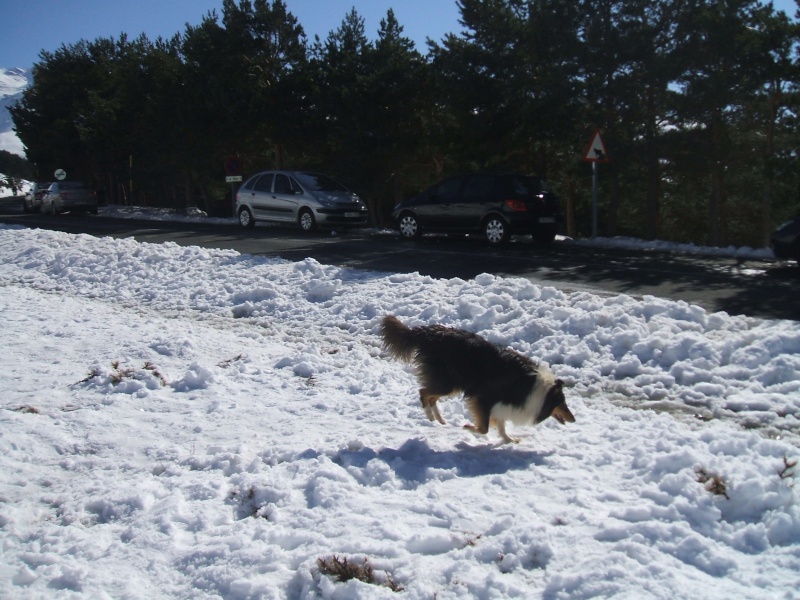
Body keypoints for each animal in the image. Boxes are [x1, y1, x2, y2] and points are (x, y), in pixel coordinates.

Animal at [378, 316, 572, 442]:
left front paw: (509, 440)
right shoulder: (484, 398)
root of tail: (430, 332)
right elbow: (484, 428)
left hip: (451, 384)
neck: (537, 388)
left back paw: (440, 419)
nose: (573, 419)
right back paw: (431, 416)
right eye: (562, 403)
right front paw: (469, 428)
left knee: (431, 396)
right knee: (424, 392)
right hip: (447, 383)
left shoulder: (500, 403)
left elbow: (500, 425)